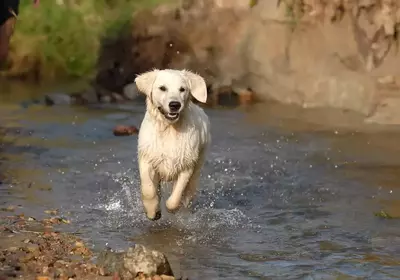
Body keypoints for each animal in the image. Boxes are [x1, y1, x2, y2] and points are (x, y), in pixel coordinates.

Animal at [134, 68, 211, 221]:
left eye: (182, 89)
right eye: (162, 88)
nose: (175, 105)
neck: (169, 128)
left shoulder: (187, 163)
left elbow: (176, 196)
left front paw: (172, 208)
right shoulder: (147, 158)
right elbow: (148, 189)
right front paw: (152, 211)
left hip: (199, 163)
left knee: (190, 190)